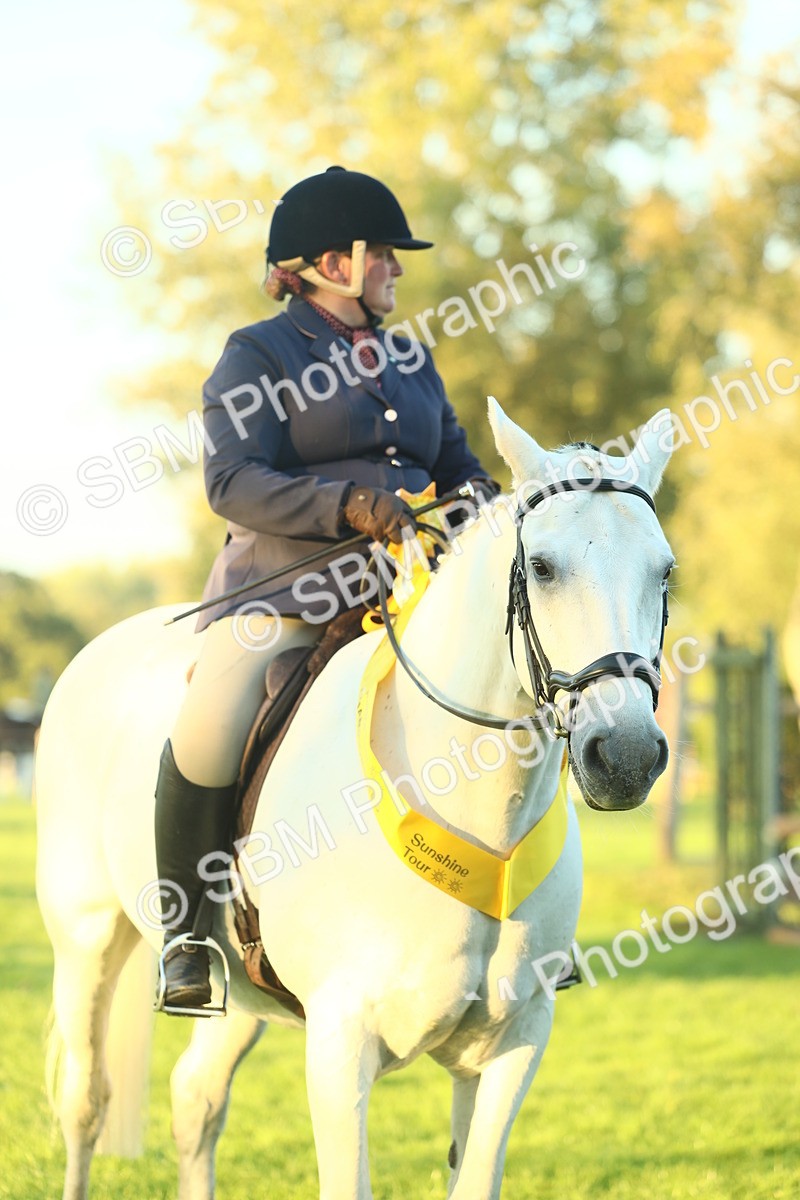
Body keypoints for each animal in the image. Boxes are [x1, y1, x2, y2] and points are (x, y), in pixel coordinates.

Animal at [35, 399, 675, 1200]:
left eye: (664, 570)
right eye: (543, 567)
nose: (626, 757)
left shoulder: (512, 1043)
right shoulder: (342, 1045)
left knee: (195, 1098)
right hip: (87, 938)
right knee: (85, 1101)